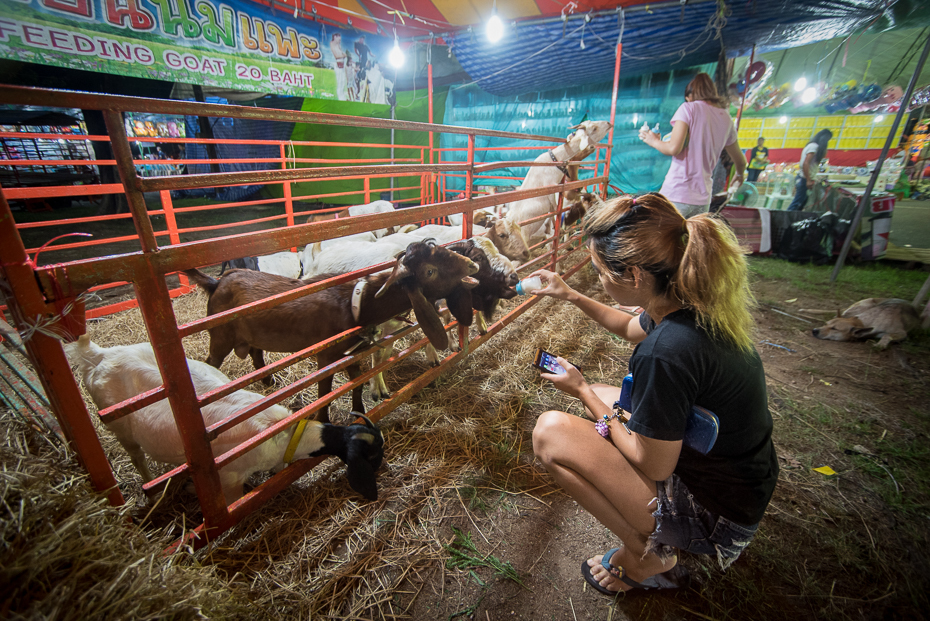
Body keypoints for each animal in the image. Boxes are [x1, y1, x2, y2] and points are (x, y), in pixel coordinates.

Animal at [65, 334, 382, 504]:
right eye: (371, 456)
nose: (382, 468)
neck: (282, 432)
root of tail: (100, 355)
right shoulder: (229, 479)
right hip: (120, 427)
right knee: (136, 456)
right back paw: (153, 490)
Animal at [183, 240, 478, 424]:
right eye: (430, 271)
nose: (472, 264)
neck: (354, 303)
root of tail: (217, 282)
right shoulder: (326, 357)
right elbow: (325, 394)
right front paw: (322, 421)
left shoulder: (352, 353)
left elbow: (357, 383)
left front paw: (359, 412)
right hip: (220, 336)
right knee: (212, 362)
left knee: (256, 352)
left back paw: (268, 381)